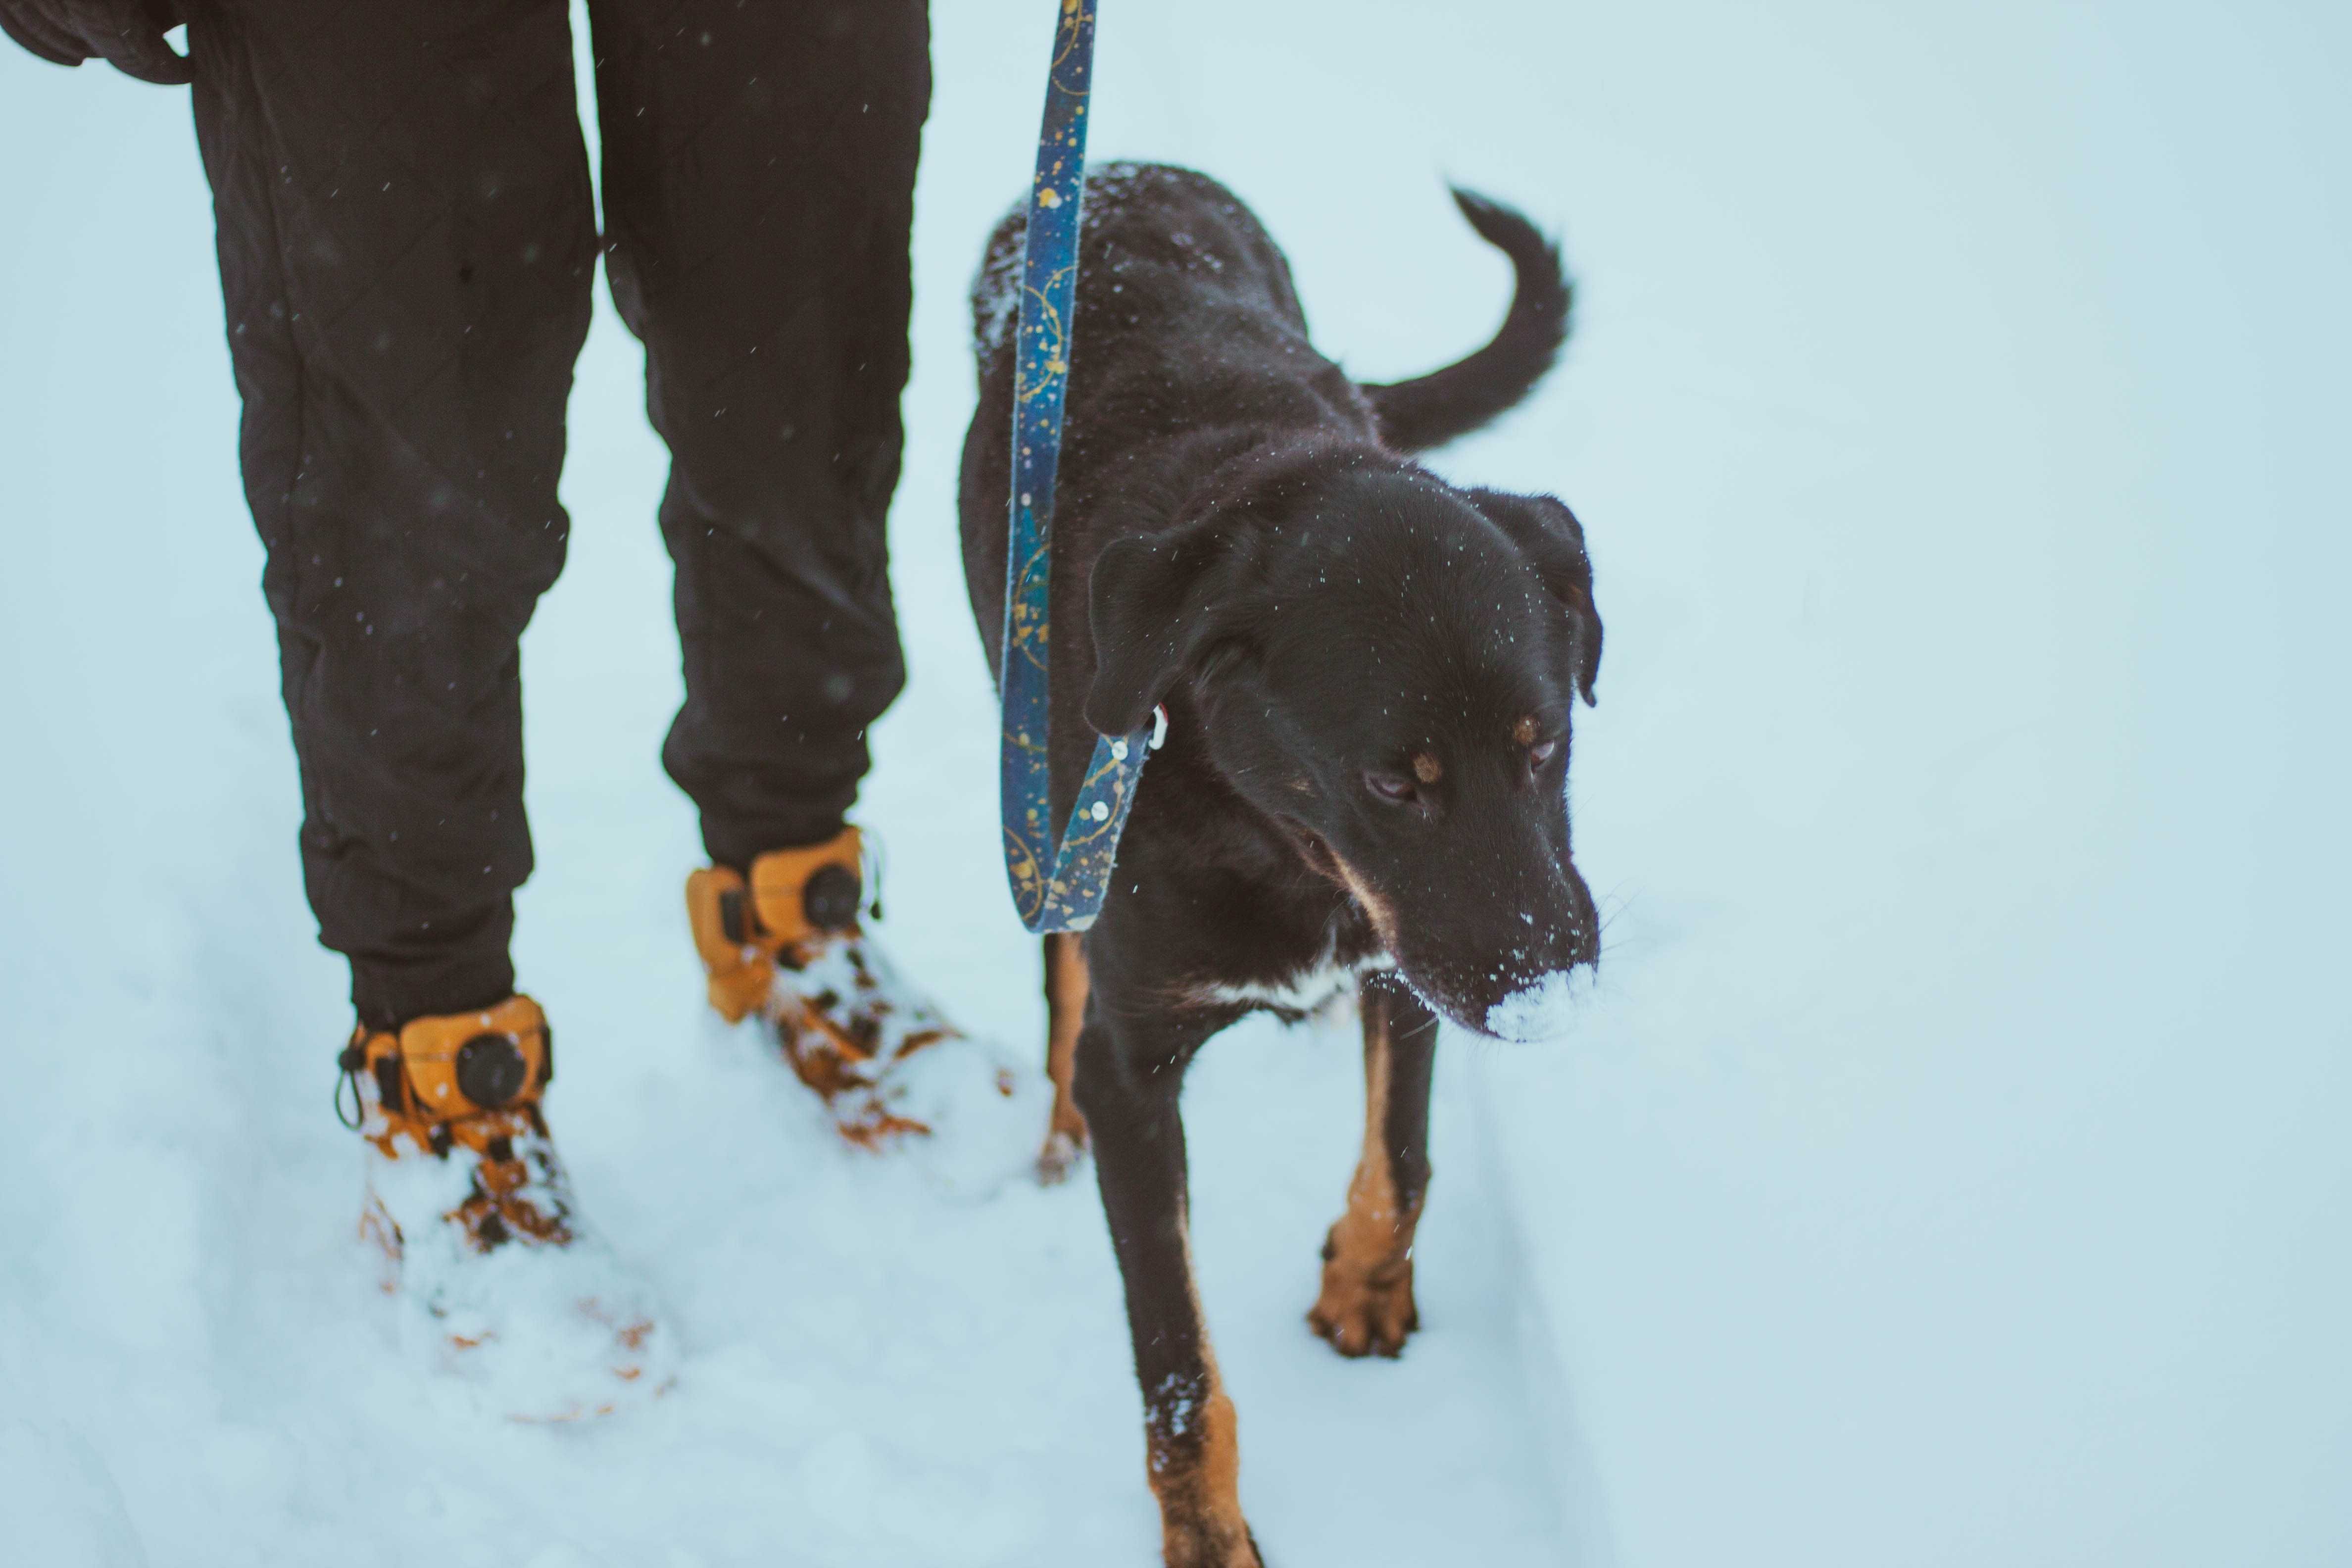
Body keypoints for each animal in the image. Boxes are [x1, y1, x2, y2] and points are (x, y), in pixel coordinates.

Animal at [955, 162, 1599, 1568]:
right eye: (1392, 780)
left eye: (1544, 740)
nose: (1553, 992)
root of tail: (1116, 170)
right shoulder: (1139, 1062)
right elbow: (1174, 1359)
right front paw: (1205, 1535)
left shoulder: (1405, 961)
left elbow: (1404, 1160)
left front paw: (1363, 1284)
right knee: (1058, 981)